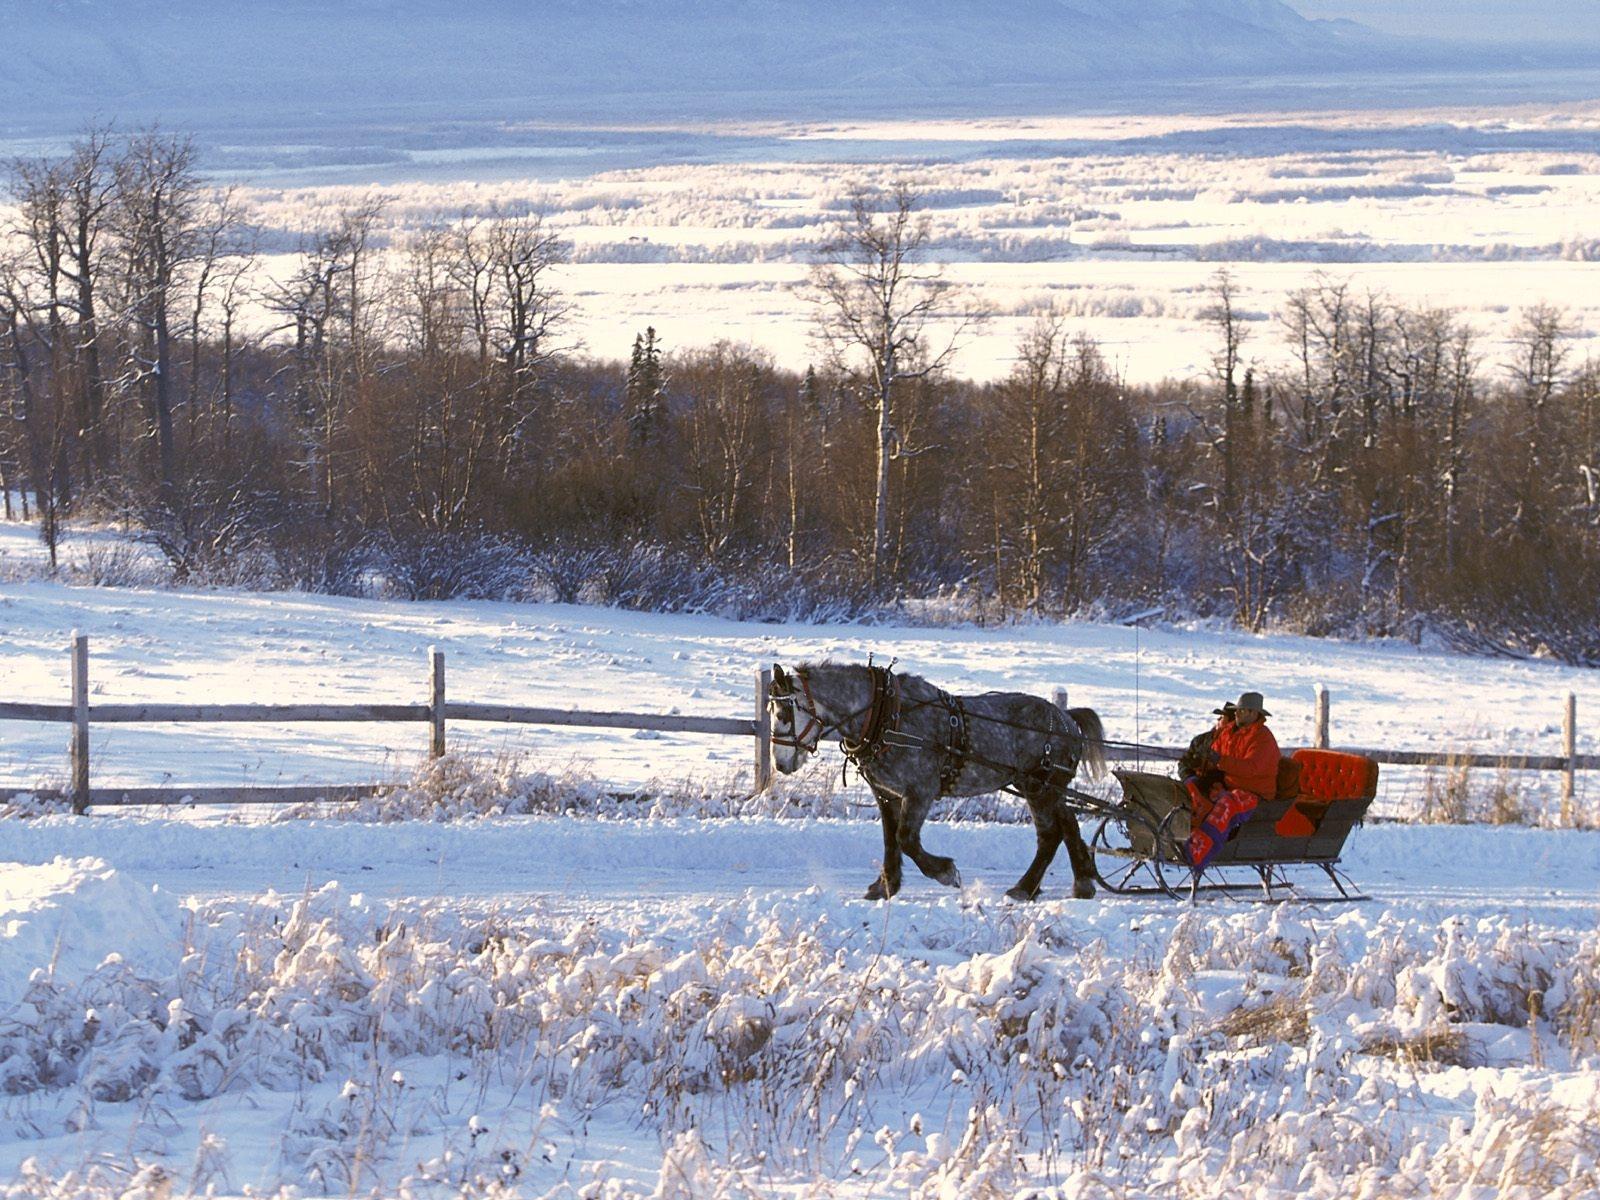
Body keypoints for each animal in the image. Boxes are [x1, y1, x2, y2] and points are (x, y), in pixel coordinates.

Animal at [768, 668, 1107, 902]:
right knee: (1068, 824)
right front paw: (885, 886)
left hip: (1040, 787)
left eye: (784, 713)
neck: (887, 716)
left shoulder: (920, 791)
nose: (780, 764)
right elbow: (890, 839)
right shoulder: (886, 794)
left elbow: (906, 838)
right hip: (1041, 788)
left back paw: (1024, 888)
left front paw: (945, 872)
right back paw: (1081, 883)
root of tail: (1066, 718)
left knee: (1050, 834)